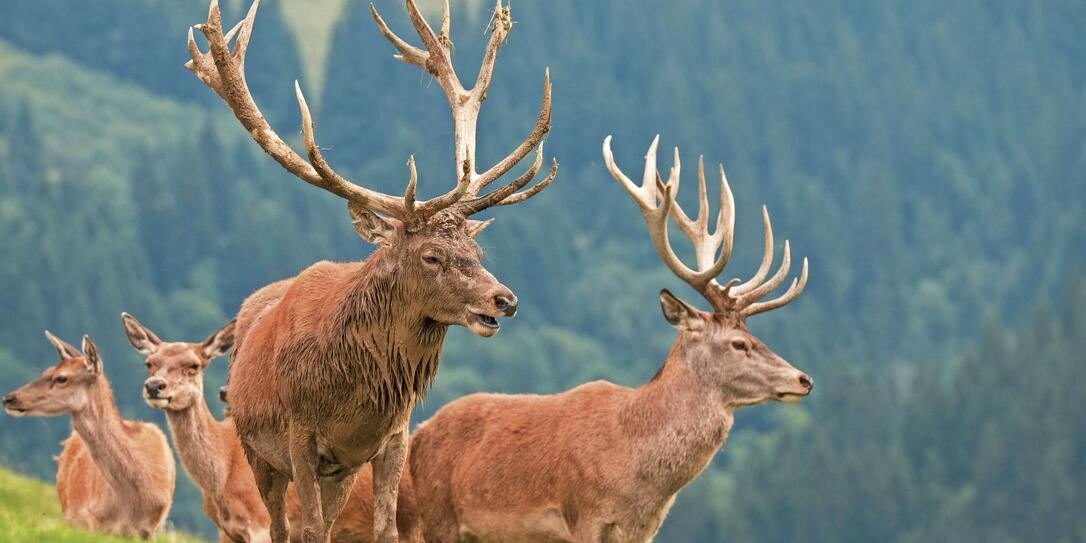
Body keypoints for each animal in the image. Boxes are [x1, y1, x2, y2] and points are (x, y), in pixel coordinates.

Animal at [122, 312, 422, 543]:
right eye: (150, 363)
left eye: (193, 365)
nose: (154, 386)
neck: (222, 477)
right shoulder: (227, 532)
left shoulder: (256, 522)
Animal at [184, 1, 556, 541]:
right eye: (431, 256)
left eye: (477, 251)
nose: (504, 300)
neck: (352, 403)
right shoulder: (299, 437)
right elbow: (309, 529)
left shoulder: (388, 440)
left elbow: (385, 529)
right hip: (257, 451)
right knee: (281, 526)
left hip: (339, 472)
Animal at [406, 135, 813, 542]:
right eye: (738, 343)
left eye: (752, 335)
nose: (803, 379)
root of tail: (417, 436)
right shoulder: (584, 515)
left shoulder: (643, 531)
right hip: (436, 517)